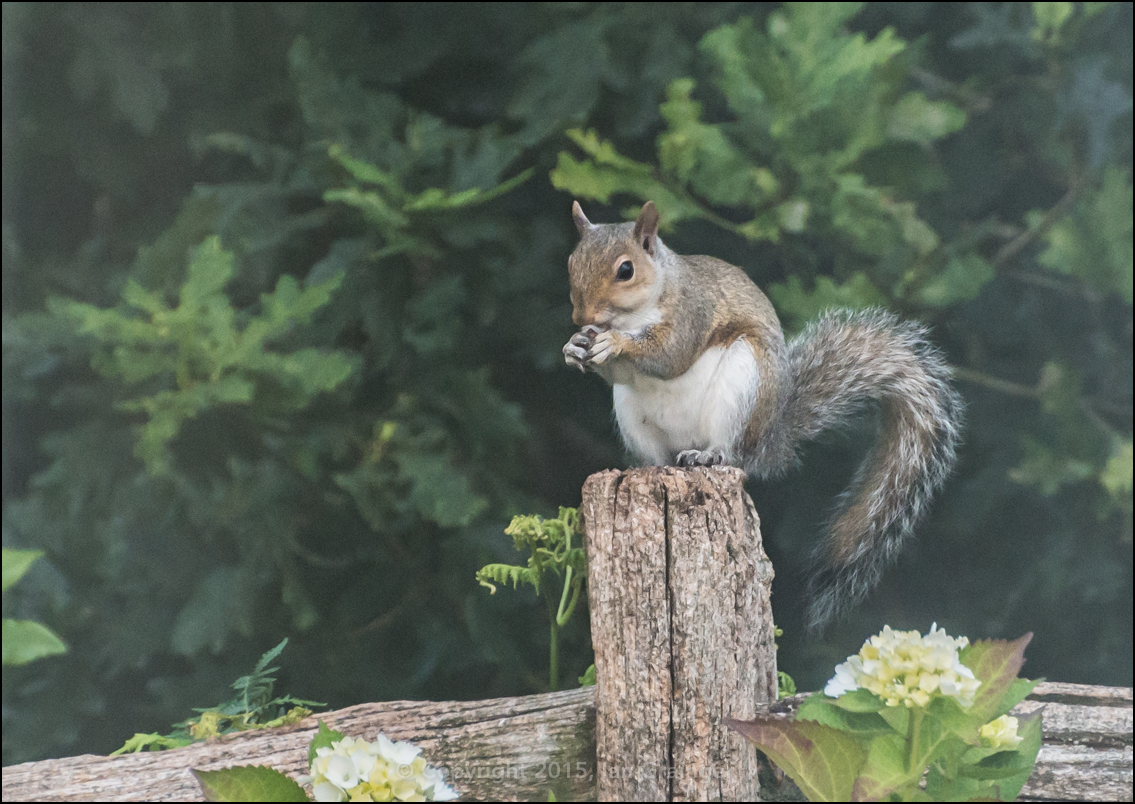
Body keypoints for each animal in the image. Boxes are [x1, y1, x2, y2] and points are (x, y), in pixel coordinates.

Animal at [562, 200, 962, 635]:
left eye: (626, 270)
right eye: (571, 261)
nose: (581, 316)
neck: (638, 309)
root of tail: (769, 439)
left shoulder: (691, 313)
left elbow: (669, 355)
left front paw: (615, 342)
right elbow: (616, 371)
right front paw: (575, 347)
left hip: (742, 384)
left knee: (731, 453)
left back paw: (708, 455)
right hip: (632, 414)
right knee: (659, 456)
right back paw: (646, 467)